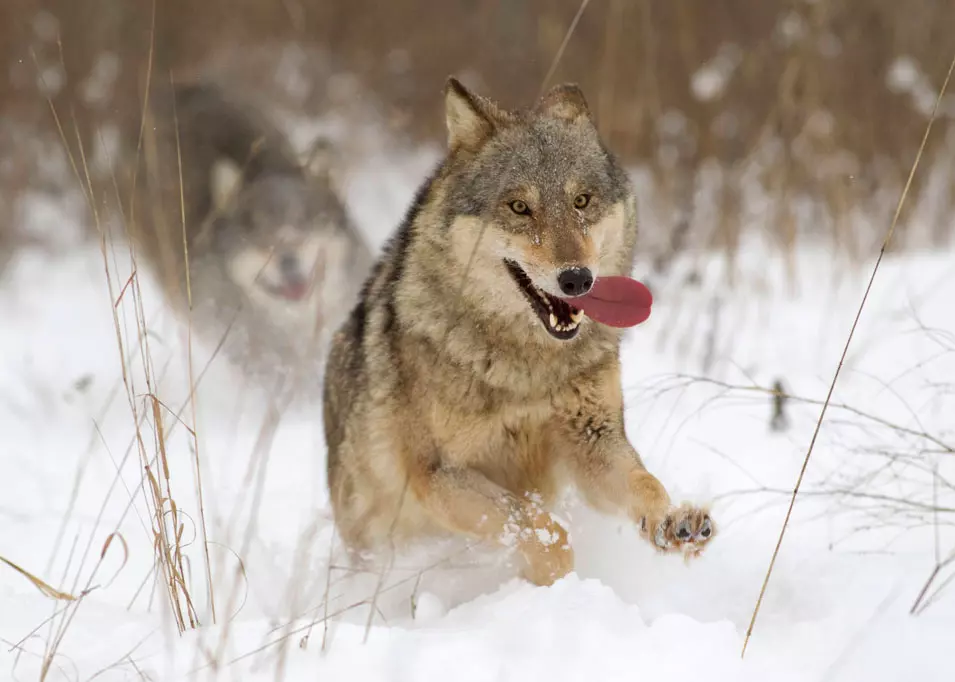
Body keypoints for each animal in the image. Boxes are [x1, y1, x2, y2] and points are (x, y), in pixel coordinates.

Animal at [324, 75, 716, 584]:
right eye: (519, 207)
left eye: (581, 201)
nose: (577, 278)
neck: (526, 369)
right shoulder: (438, 474)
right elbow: (539, 528)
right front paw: (553, 581)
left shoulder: (592, 441)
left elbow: (643, 482)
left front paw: (672, 521)